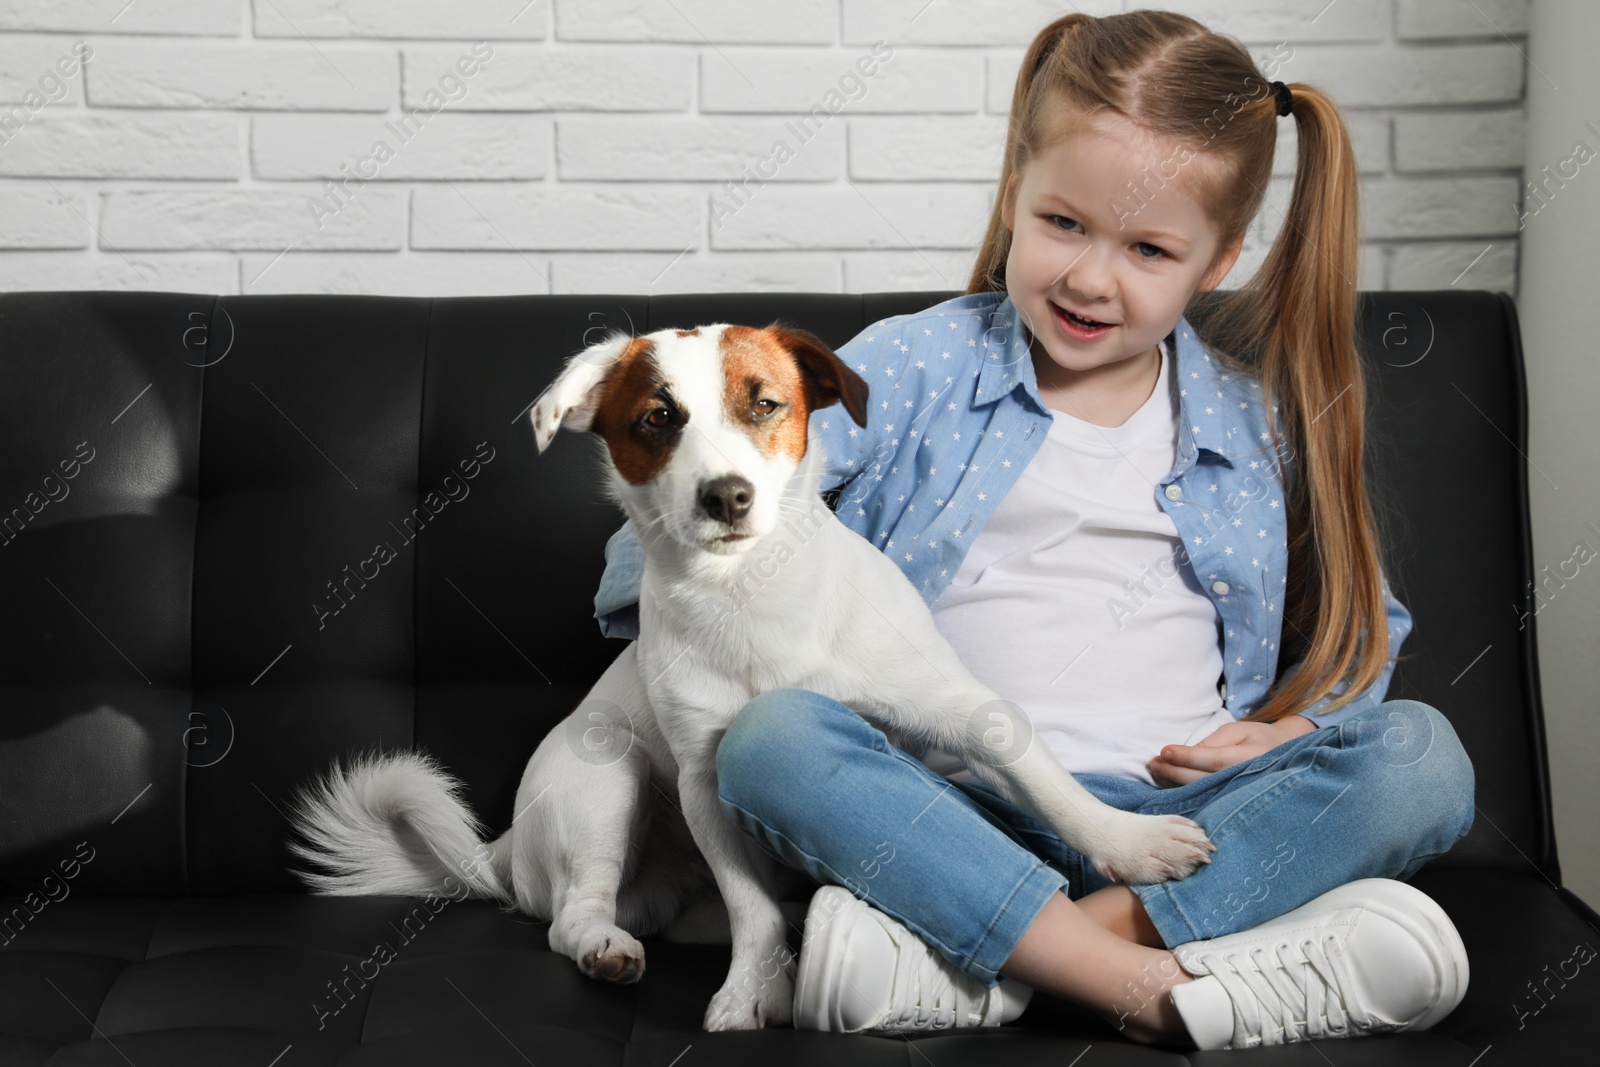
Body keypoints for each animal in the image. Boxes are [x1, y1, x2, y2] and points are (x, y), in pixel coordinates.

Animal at [288, 319, 1209, 1036]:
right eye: (657, 418)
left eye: (765, 402)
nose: (726, 495)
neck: (750, 594)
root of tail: (507, 848)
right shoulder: (705, 777)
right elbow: (750, 907)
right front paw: (751, 989)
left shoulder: (960, 710)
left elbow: (1046, 784)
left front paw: (1132, 844)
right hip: (602, 779)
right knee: (577, 914)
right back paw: (609, 947)